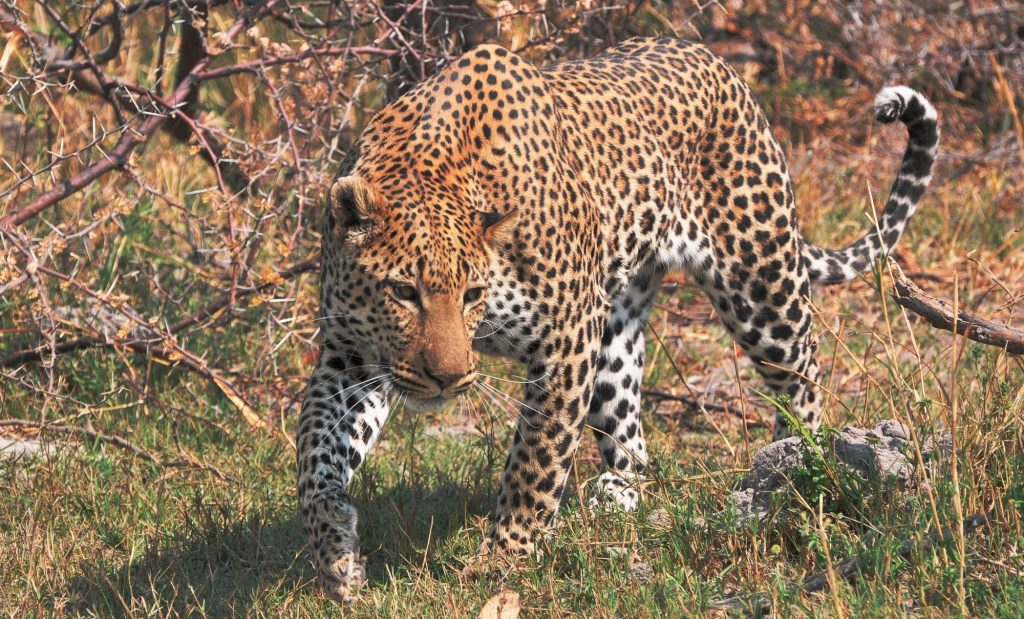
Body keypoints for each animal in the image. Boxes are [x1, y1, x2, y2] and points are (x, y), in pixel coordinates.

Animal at [295, 36, 938, 601]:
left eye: (472, 293)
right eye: (403, 292)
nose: (448, 380)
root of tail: (715, 62)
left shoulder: (564, 345)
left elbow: (534, 463)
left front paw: (499, 565)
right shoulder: (352, 355)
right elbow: (314, 455)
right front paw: (336, 558)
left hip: (762, 283)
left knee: (802, 382)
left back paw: (790, 473)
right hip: (616, 329)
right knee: (632, 436)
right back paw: (617, 497)